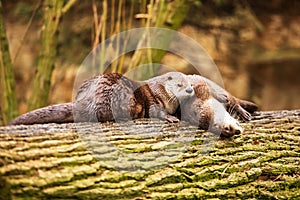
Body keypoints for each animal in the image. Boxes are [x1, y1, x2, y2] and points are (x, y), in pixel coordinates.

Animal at [8, 72, 195, 125]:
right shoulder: (155, 97)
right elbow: (157, 110)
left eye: (191, 83)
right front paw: (170, 117)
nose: (189, 89)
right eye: (180, 84)